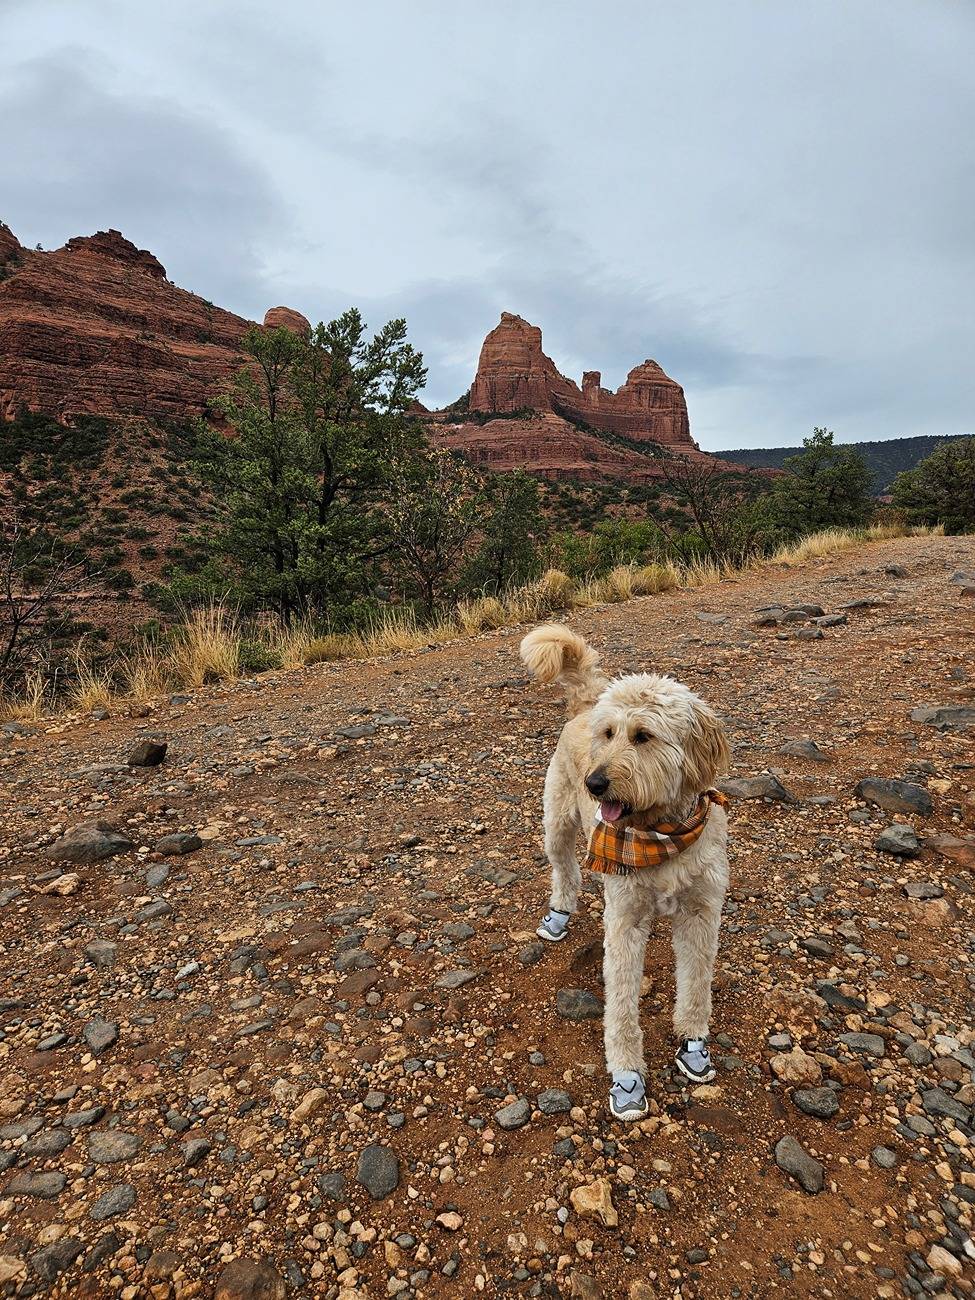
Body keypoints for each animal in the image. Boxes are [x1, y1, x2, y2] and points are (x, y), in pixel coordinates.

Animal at [522, 618, 728, 1118]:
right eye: (609, 734)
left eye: (643, 736)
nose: (595, 783)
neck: (662, 832)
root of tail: (584, 707)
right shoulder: (625, 923)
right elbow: (620, 1006)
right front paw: (627, 1076)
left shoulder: (701, 915)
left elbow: (696, 987)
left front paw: (693, 1045)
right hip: (556, 824)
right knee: (565, 872)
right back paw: (558, 914)